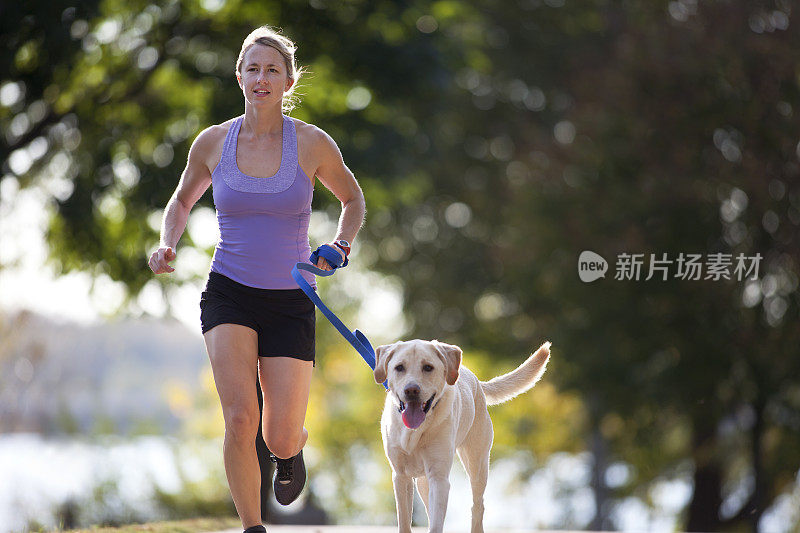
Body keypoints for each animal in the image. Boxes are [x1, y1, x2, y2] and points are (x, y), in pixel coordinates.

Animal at [374, 338, 552, 528]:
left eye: (428, 367)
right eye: (399, 367)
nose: (411, 390)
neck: (415, 431)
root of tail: (475, 380)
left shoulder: (439, 478)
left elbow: (436, 523)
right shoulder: (401, 477)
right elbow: (404, 521)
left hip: (477, 465)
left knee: (477, 506)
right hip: (423, 480)